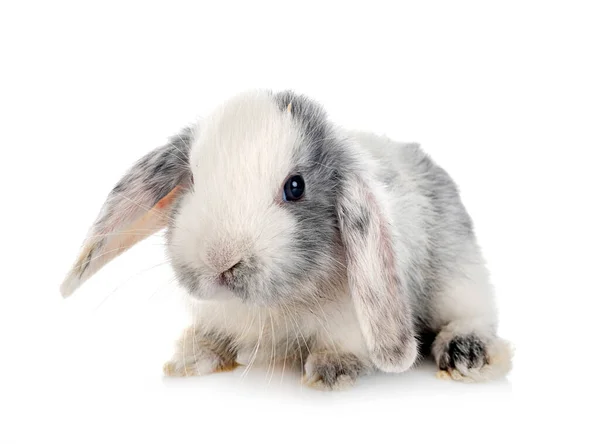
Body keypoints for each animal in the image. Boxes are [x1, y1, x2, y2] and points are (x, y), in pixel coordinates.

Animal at [59, 89, 510, 388]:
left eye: (296, 187)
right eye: (192, 179)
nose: (220, 262)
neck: (275, 304)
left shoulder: (351, 319)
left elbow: (344, 344)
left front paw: (330, 370)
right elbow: (210, 339)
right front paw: (192, 357)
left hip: (460, 276)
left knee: (473, 313)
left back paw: (467, 353)